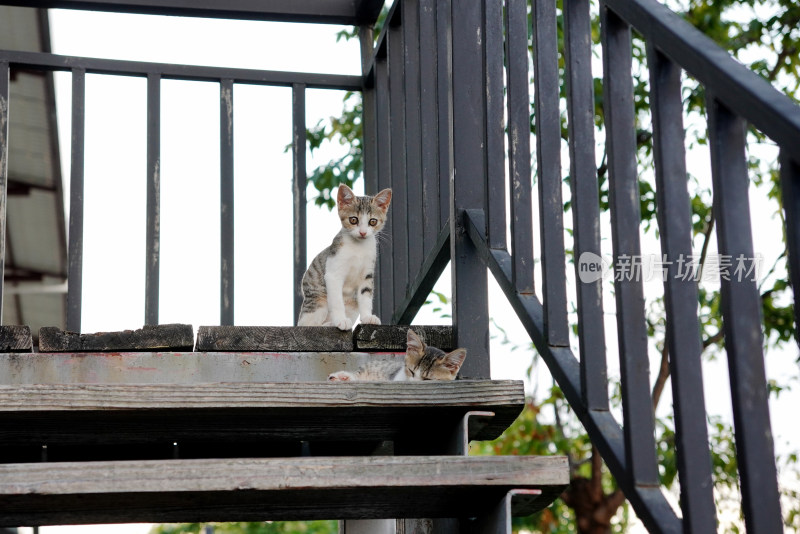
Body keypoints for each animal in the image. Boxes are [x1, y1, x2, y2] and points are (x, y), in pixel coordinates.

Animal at [296, 186, 390, 332]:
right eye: (353, 220)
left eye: (372, 221)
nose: (363, 232)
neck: (358, 247)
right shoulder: (333, 273)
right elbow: (337, 301)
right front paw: (341, 320)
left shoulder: (367, 275)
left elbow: (365, 297)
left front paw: (368, 317)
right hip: (318, 301)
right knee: (307, 323)